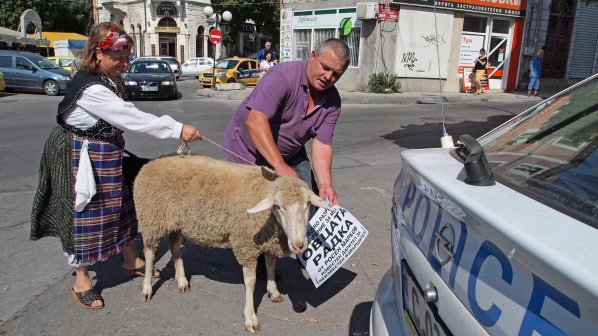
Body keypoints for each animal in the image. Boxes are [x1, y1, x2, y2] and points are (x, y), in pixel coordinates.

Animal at [134, 155, 332, 334]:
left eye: (308, 204)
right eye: (278, 206)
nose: (299, 245)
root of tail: (149, 164)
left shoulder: (269, 241)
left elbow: (270, 265)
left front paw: (273, 291)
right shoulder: (246, 245)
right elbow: (250, 282)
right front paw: (251, 318)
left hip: (177, 222)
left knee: (175, 246)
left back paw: (182, 281)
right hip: (151, 218)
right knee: (150, 253)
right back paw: (146, 289)